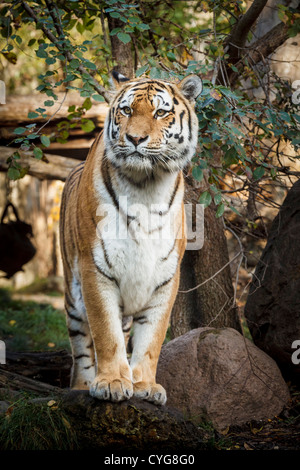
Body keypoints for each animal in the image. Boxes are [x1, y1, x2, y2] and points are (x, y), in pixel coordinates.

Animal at [59, 71, 203, 406]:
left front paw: (145, 386)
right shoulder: (95, 268)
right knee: (81, 345)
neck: (145, 186)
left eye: (160, 112)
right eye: (126, 110)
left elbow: (152, 339)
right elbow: (105, 333)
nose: (135, 139)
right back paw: (83, 386)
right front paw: (112, 382)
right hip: (73, 294)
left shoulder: (166, 277)